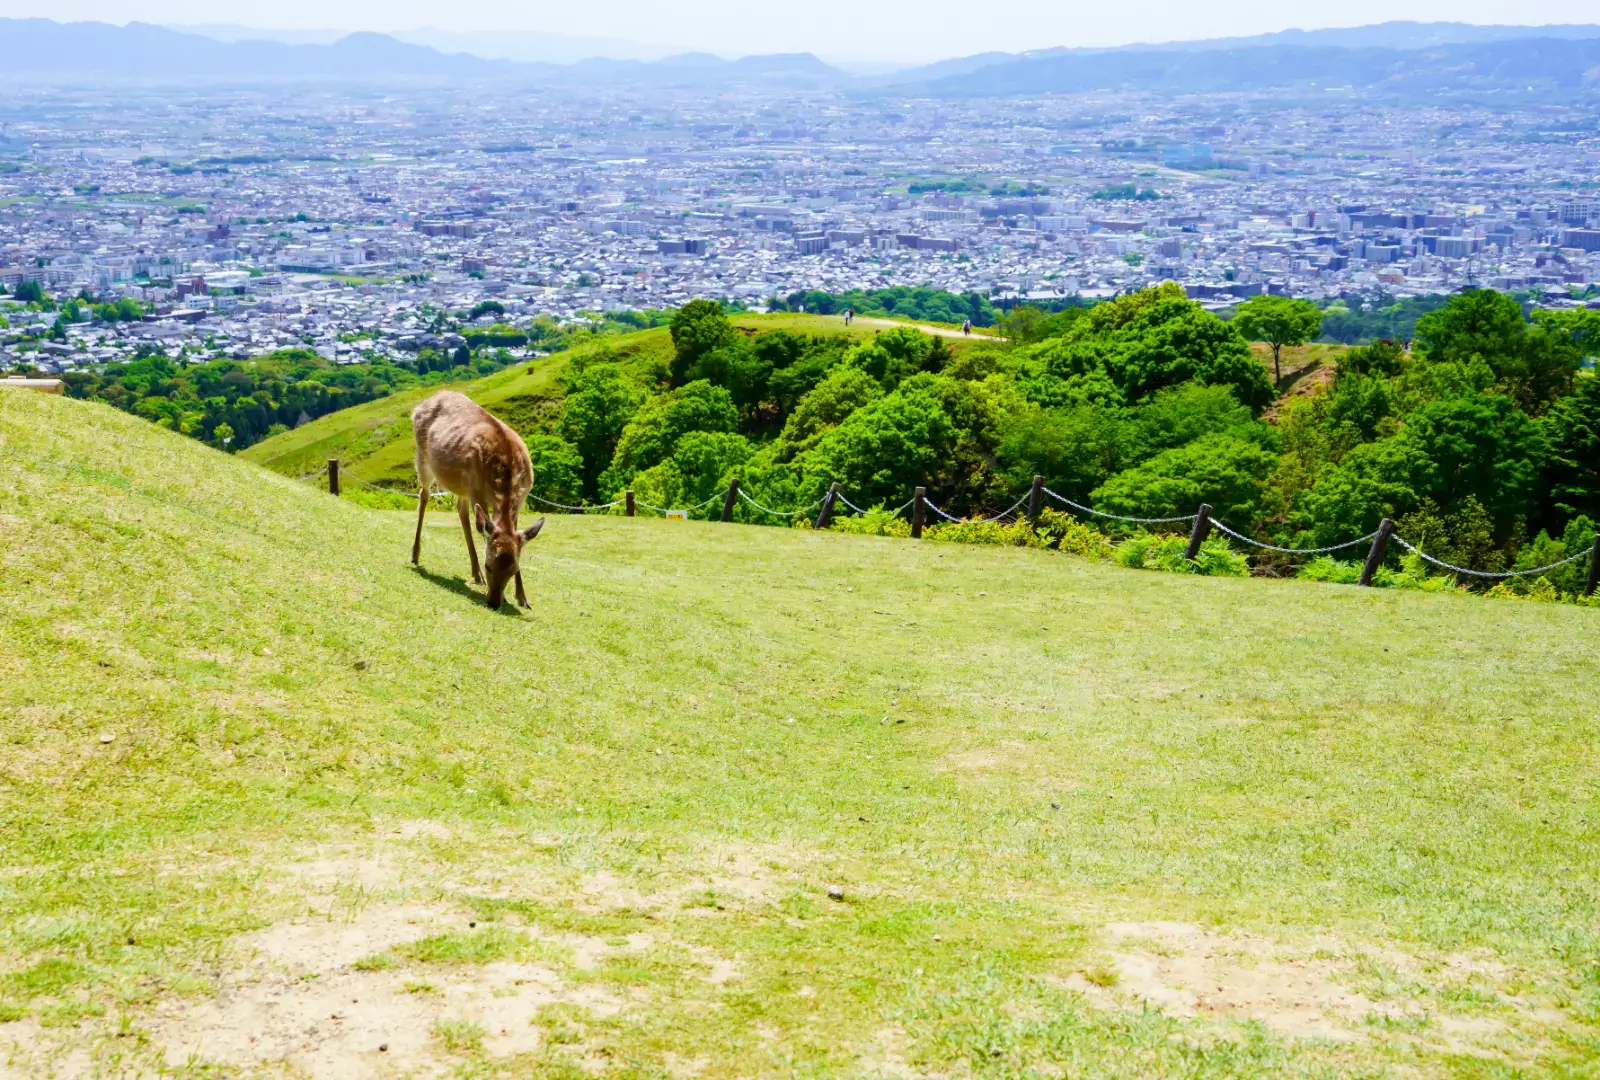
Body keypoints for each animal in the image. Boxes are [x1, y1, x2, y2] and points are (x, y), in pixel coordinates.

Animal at [409, 390, 547, 611]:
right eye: (489, 565)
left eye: (513, 569)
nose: (493, 602)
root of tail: (424, 402)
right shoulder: (477, 491)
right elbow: (481, 529)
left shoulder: (521, 500)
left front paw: (522, 598)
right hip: (422, 458)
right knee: (424, 495)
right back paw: (415, 555)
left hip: (462, 485)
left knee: (460, 509)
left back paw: (475, 574)